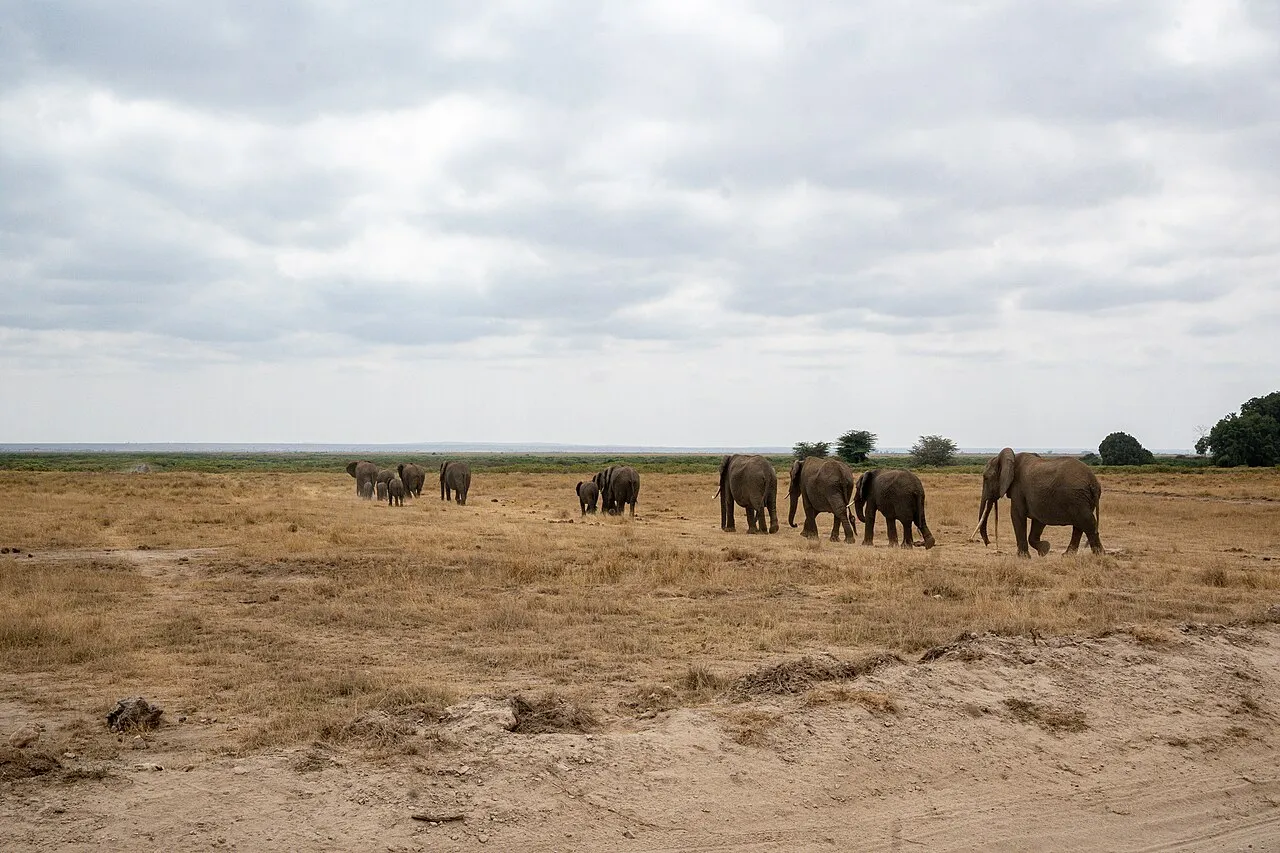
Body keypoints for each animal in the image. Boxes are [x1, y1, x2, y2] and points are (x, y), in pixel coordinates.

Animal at [974, 448, 1103, 559]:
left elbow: (1017, 515)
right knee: (1079, 525)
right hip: (1082, 499)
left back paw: (1100, 556)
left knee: (1087, 522)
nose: (988, 543)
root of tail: (1093, 482)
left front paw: (1023, 557)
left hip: (1076, 496)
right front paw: (1044, 550)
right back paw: (1067, 556)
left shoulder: (1018, 488)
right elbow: (1038, 521)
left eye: (986, 478)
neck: (1011, 459)